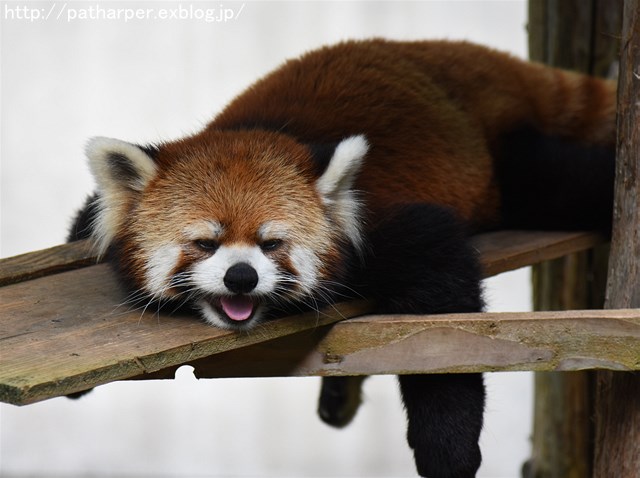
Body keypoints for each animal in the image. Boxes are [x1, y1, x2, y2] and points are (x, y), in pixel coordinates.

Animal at [69, 39, 616, 476]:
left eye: (272, 244)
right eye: (206, 243)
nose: (241, 277)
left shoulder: (385, 225)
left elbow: (443, 332)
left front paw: (449, 452)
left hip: (513, 166)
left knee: (569, 178)